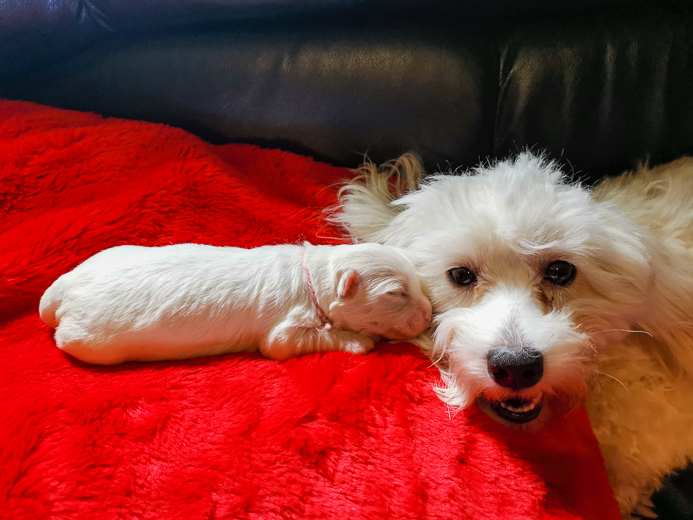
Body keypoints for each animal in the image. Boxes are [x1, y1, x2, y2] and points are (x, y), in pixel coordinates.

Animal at [40, 242, 430, 364]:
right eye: (396, 293)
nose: (429, 314)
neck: (313, 277)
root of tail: (63, 288)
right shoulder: (283, 329)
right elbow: (282, 345)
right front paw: (360, 340)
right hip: (92, 341)